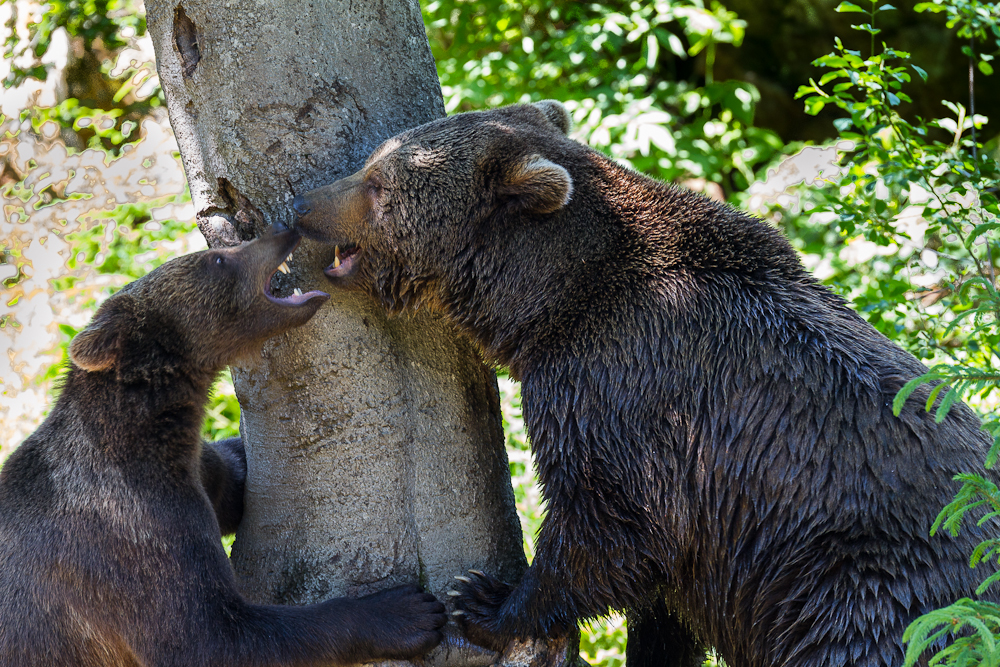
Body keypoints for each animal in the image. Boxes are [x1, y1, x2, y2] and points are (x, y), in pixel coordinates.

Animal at [0, 228, 446, 667]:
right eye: (216, 259)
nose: (284, 229)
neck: (150, 431)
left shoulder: (195, 467)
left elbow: (230, 483)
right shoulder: (126, 527)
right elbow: (209, 635)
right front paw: (407, 611)